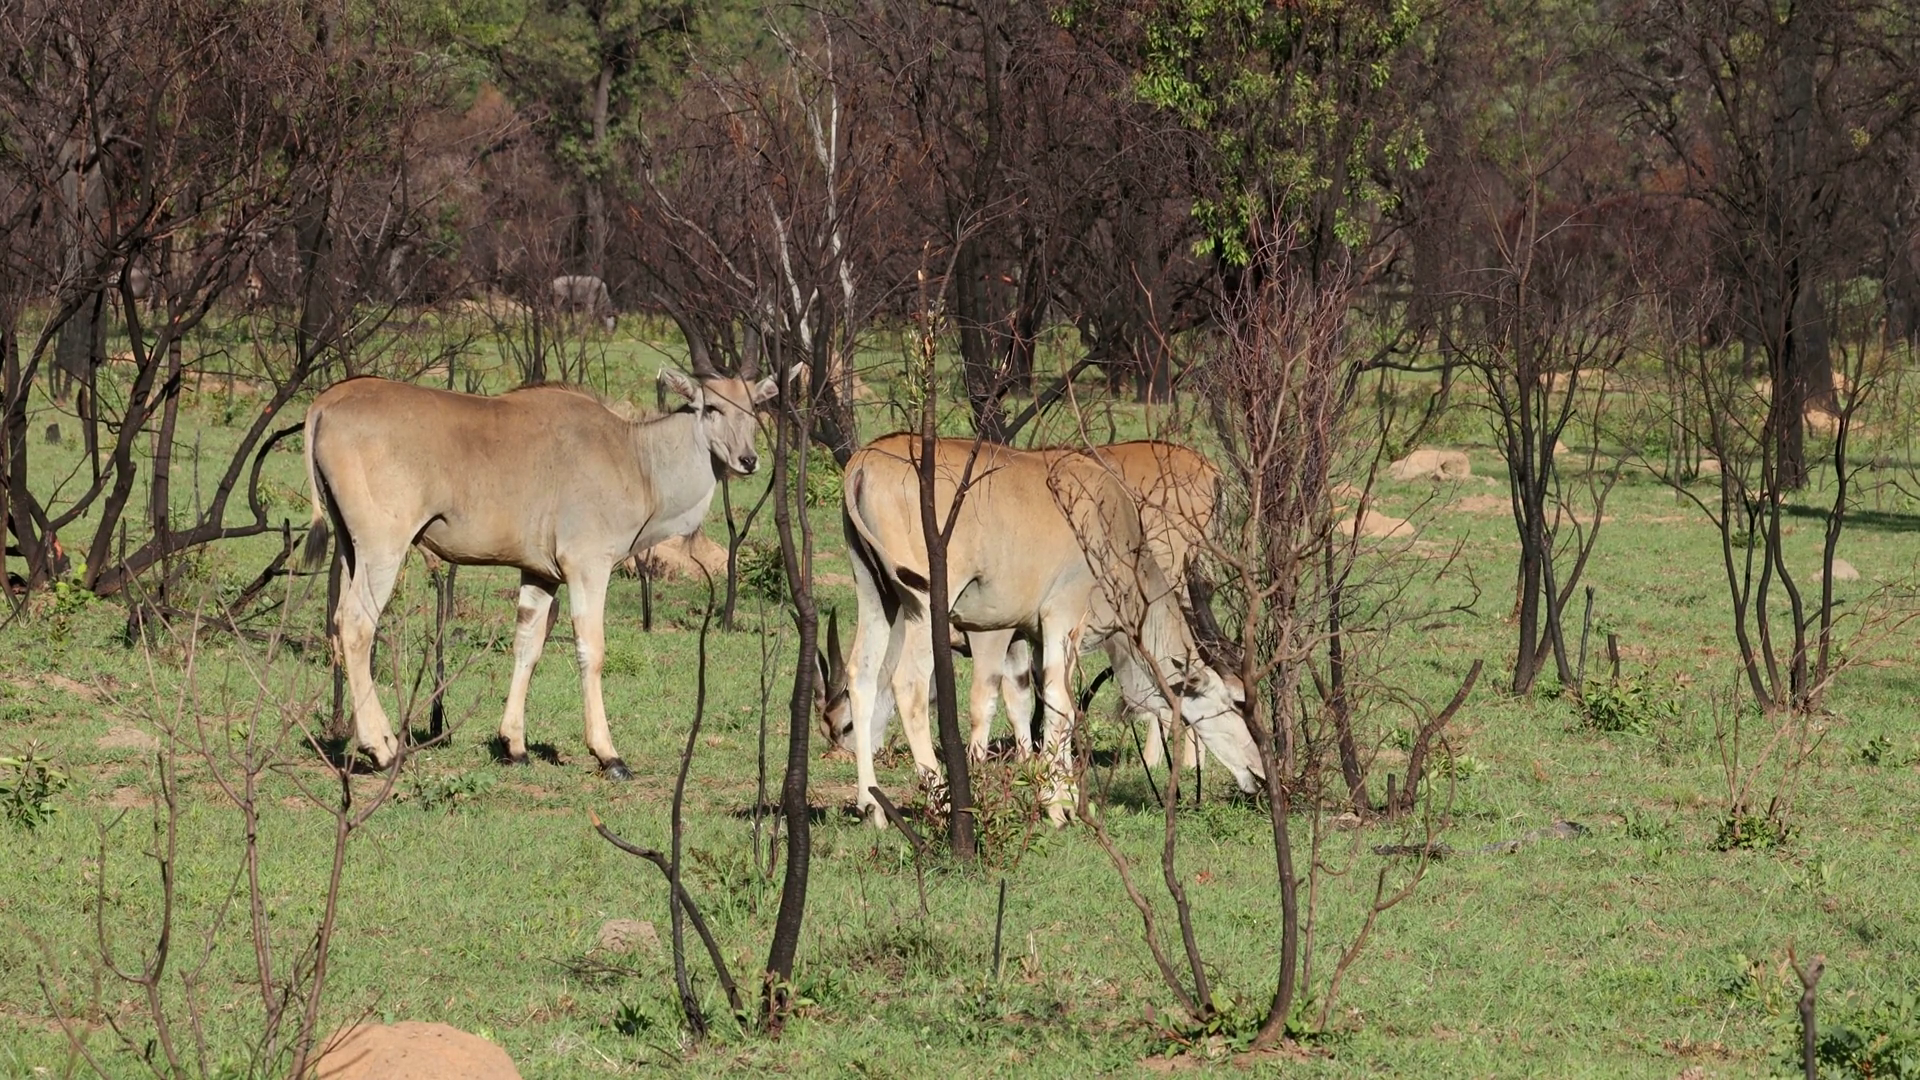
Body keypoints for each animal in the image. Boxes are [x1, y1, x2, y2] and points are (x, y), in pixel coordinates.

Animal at [300, 322, 787, 776]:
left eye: (753, 409)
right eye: (712, 407)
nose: (748, 460)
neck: (633, 455)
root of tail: (325, 404)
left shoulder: (540, 574)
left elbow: (527, 645)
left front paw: (514, 746)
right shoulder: (588, 565)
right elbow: (591, 649)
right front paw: (608, 754)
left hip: (351, 549)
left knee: (341, 621)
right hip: (384, 548)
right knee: (357, 624)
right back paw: (382, 749)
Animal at [837, 434, 1262, 826]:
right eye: (1233, 704)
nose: (1258, 773)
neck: (1111, 525)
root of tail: (865, 459)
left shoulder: (1035, 636)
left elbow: (1035, 702)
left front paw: (1057, 794)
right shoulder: (1062, 618)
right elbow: (1062, 704)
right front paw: (1061, 808)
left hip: (875, 594)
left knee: (862, 676)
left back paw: (872, 806)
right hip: (925, 603)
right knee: (908, 683)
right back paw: (942, 803)